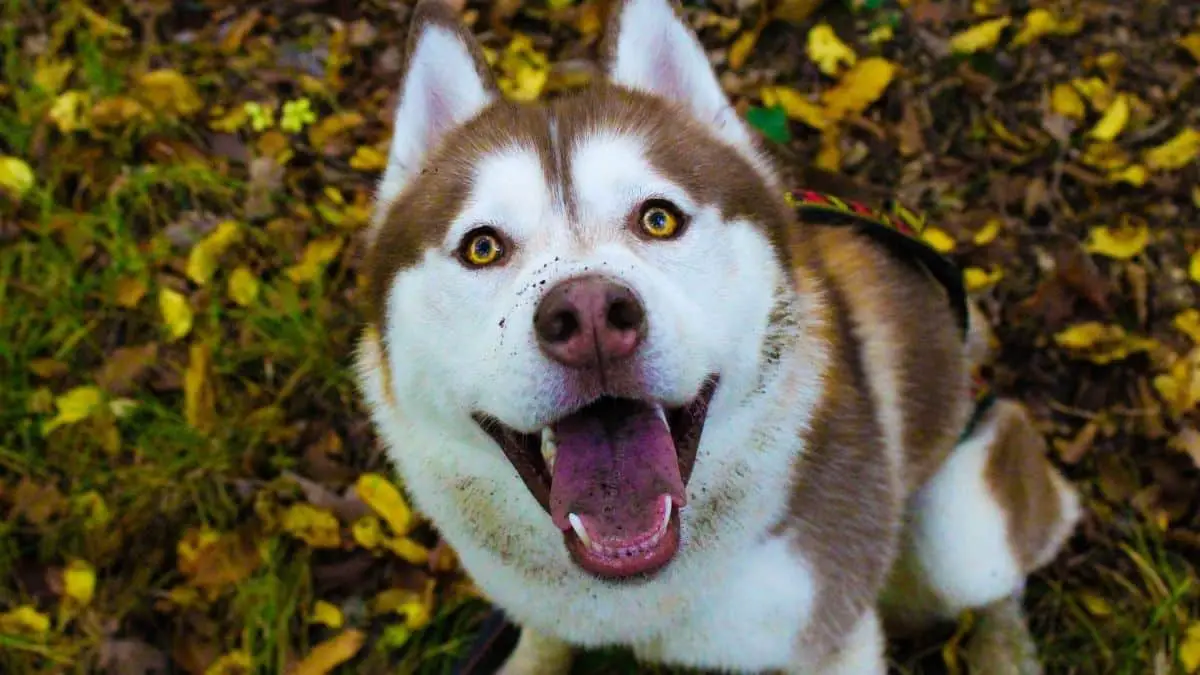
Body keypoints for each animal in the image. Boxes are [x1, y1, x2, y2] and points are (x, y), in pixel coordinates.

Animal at [350, 1, 1084, 667]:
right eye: (482, 247)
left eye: (659, 219)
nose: (590, 316)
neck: (639, 594)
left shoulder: (830, 632)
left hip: (962, 527)